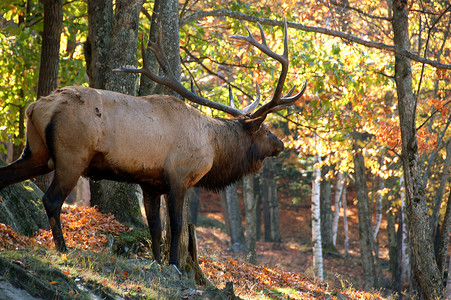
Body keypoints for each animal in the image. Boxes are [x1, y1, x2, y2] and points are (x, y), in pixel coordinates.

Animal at [0, 19, 308, 266]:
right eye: (264, 129)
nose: (281, 144)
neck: (213, 148)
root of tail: (36, 107)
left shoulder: (150, 182)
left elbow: (155, 227)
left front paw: (158, 262)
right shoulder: (179, 176)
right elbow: (176, 226)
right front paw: (173, 264)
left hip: (37, 152)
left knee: (6, 176)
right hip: (71, 155)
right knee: (51, 199)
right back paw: (63, 249)